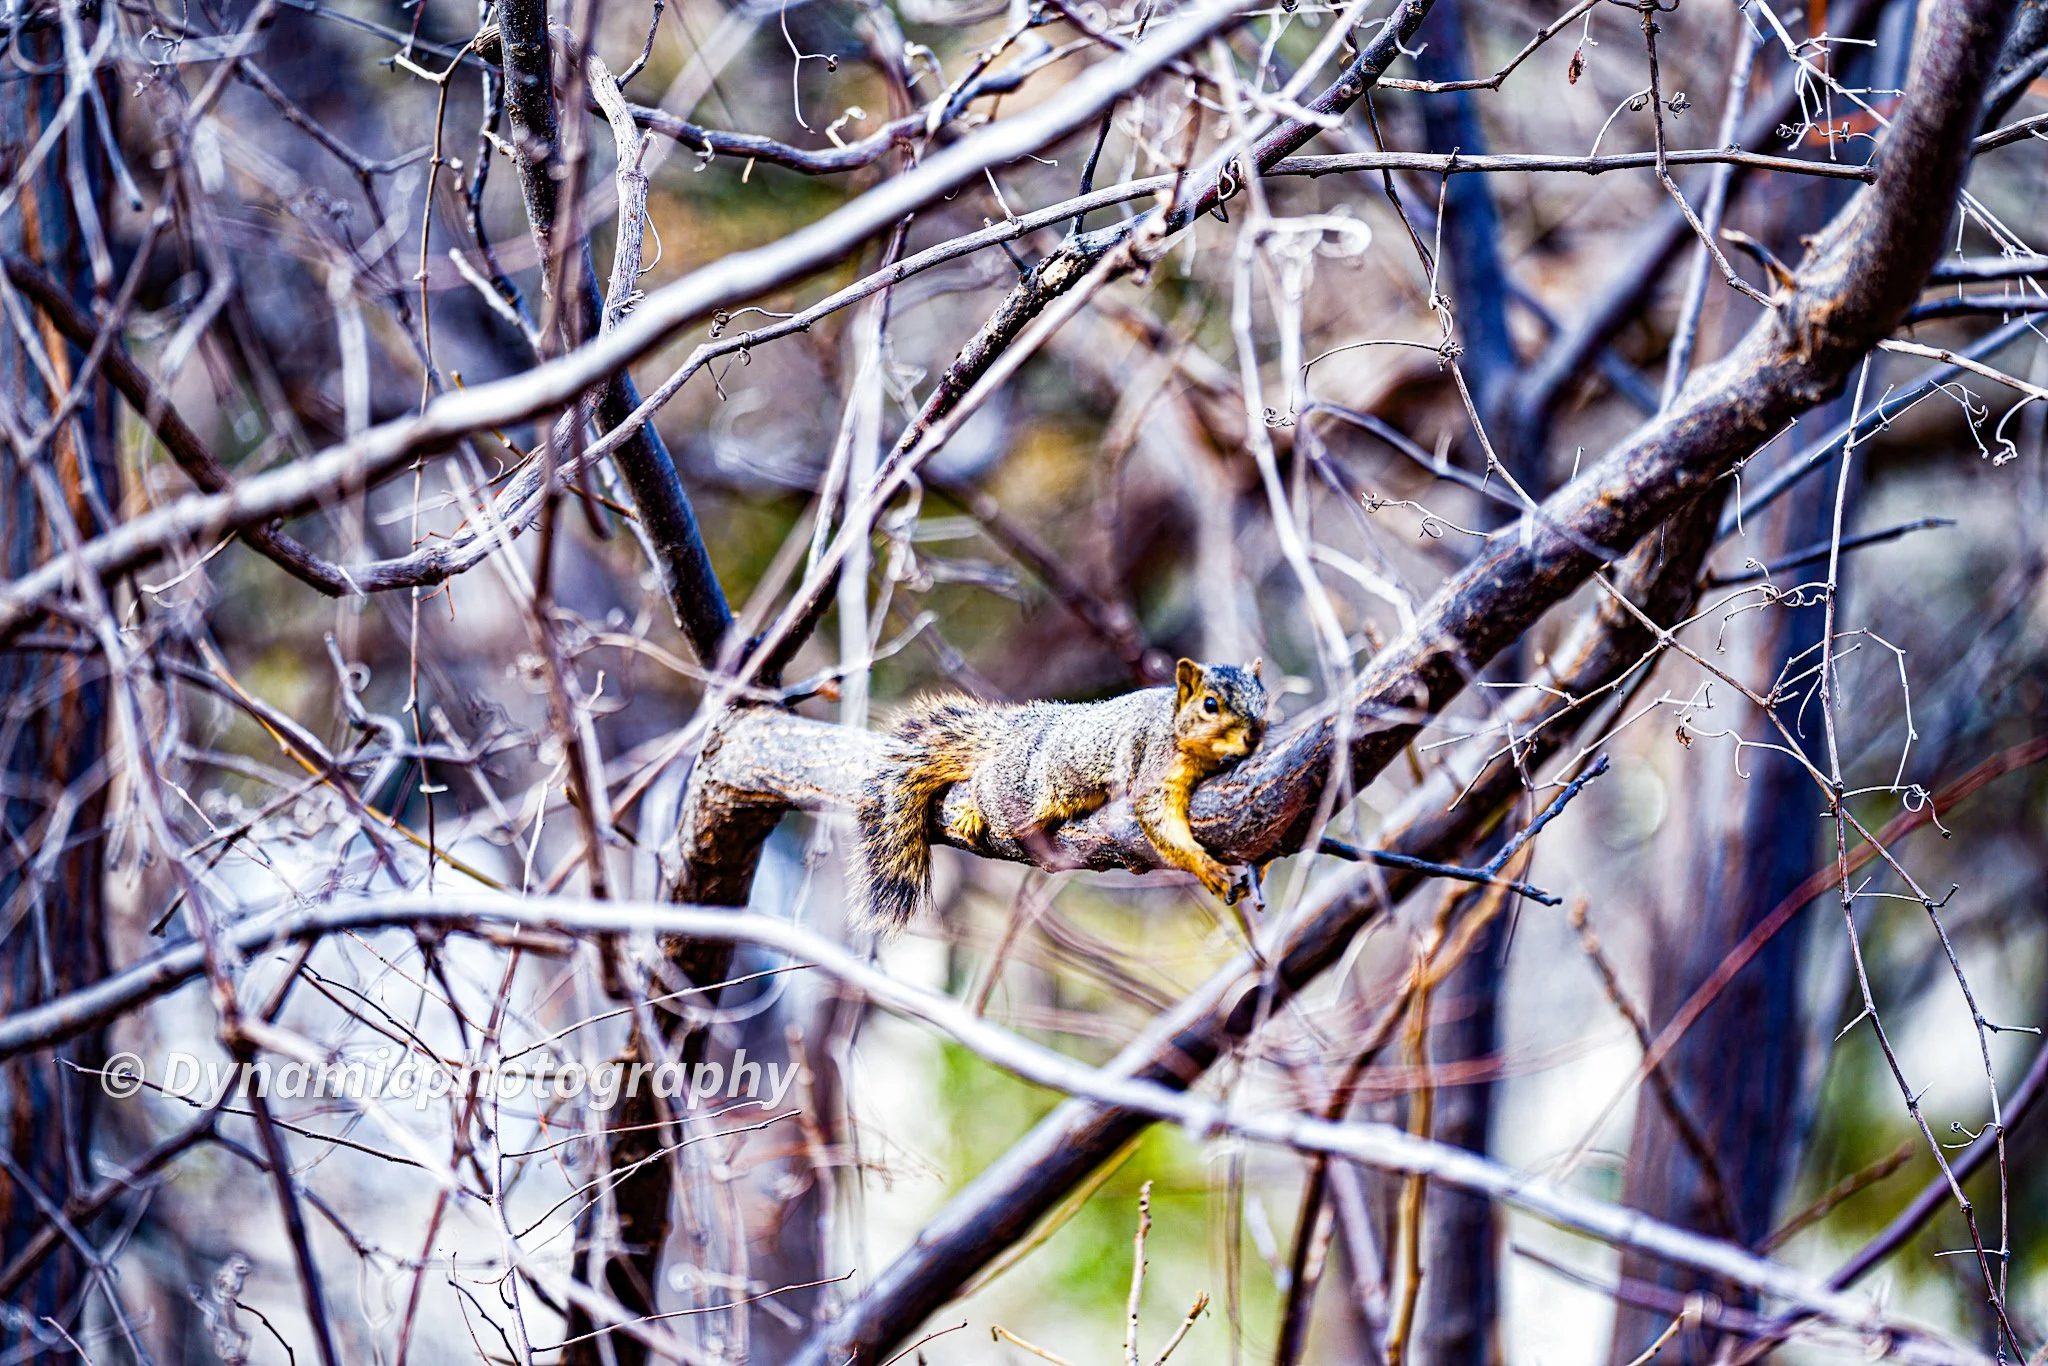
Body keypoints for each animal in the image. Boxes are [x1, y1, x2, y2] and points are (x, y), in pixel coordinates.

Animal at [855, 658, 1269, 931]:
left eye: (1264, 702)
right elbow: (1155, 815)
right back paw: (974, 809)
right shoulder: (1156, 764)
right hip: (1024, 792)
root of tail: (1011, 734)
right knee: (987, 785)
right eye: (1210, 705)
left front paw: (1258, 867)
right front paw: (1207, 868)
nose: (1253, 736)